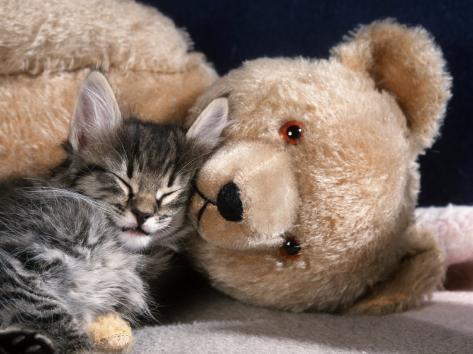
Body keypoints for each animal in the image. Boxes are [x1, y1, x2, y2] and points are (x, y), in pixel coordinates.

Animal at [0, 72, 229, 354]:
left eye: (170, 191)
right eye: (123, 180)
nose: (142, 214)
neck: (115, 249)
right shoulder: (15, 253)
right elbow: (46, 308)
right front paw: (79, 347)